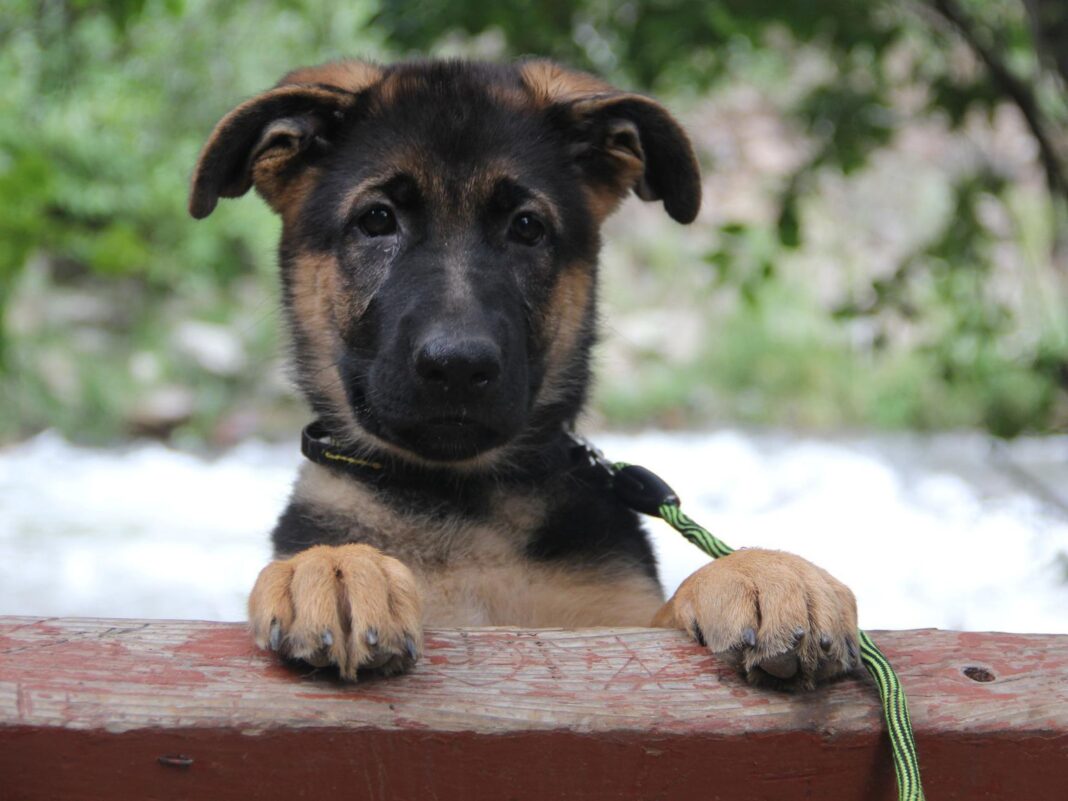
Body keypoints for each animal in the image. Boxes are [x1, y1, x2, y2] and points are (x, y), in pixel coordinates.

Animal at [190, 59, 858, 692]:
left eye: (527, 227)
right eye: (376, 220)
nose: (458, 366)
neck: (460, 501)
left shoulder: (612, 626)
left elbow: (666, 611)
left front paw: (760, 572)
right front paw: (335, 567)